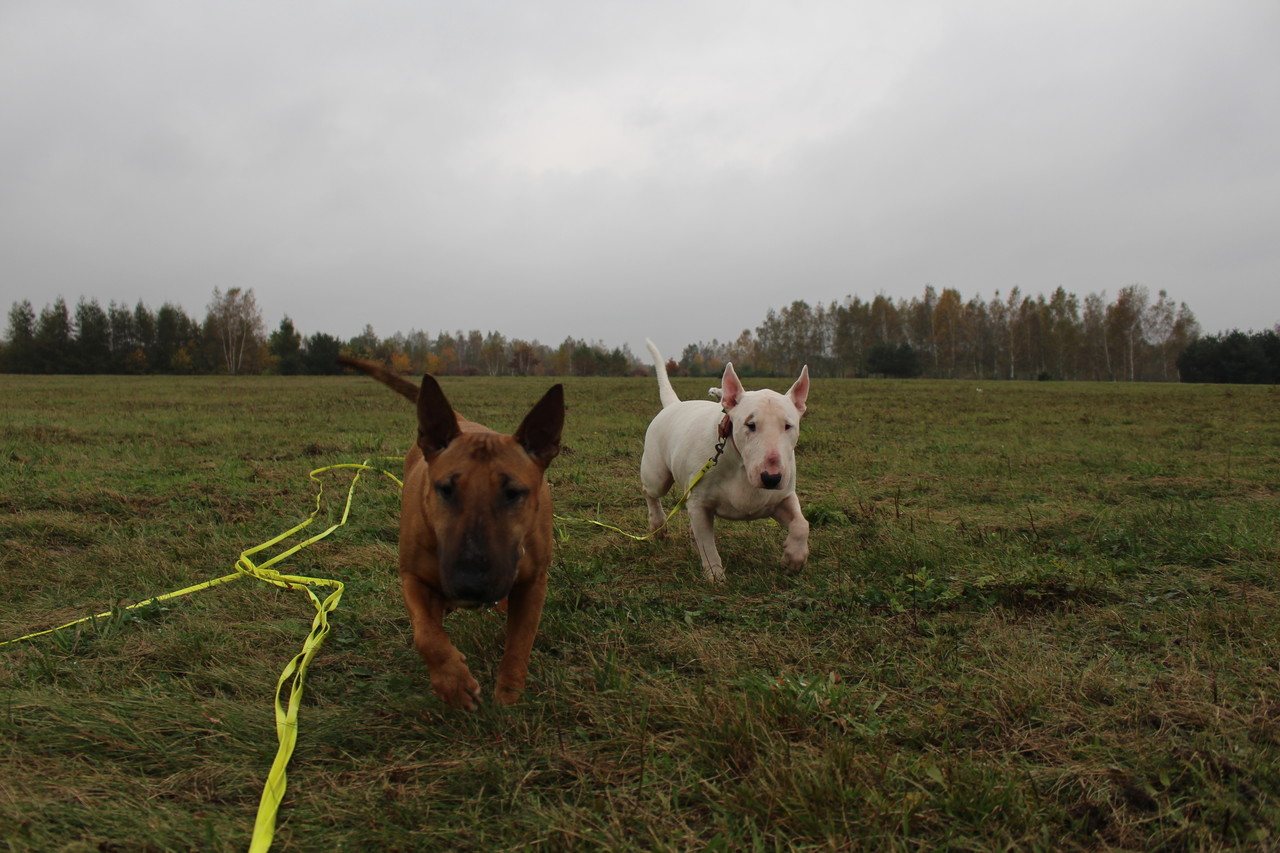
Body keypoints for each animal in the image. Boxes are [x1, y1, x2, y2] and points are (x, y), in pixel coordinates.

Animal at [339, 357, 564, 710]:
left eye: (513, 493)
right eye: (445, 489)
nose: (470, 586)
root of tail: (460, 419)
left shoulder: (533, 583)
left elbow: (520, 642)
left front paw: (509, 695)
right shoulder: (413, 576)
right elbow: (426, 635)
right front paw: (453, 683)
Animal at [640, 340, 810, 582]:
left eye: (788, 425)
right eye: (750, 424)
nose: (771, 478)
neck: (739, 462)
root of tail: (674, 404)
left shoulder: (781, 499)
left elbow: (801, 524)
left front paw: (794, 558)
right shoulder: (700, 501)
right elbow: (707, 544)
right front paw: (715, 575)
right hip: (657, 474)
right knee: (650, 491)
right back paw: (658, 523)